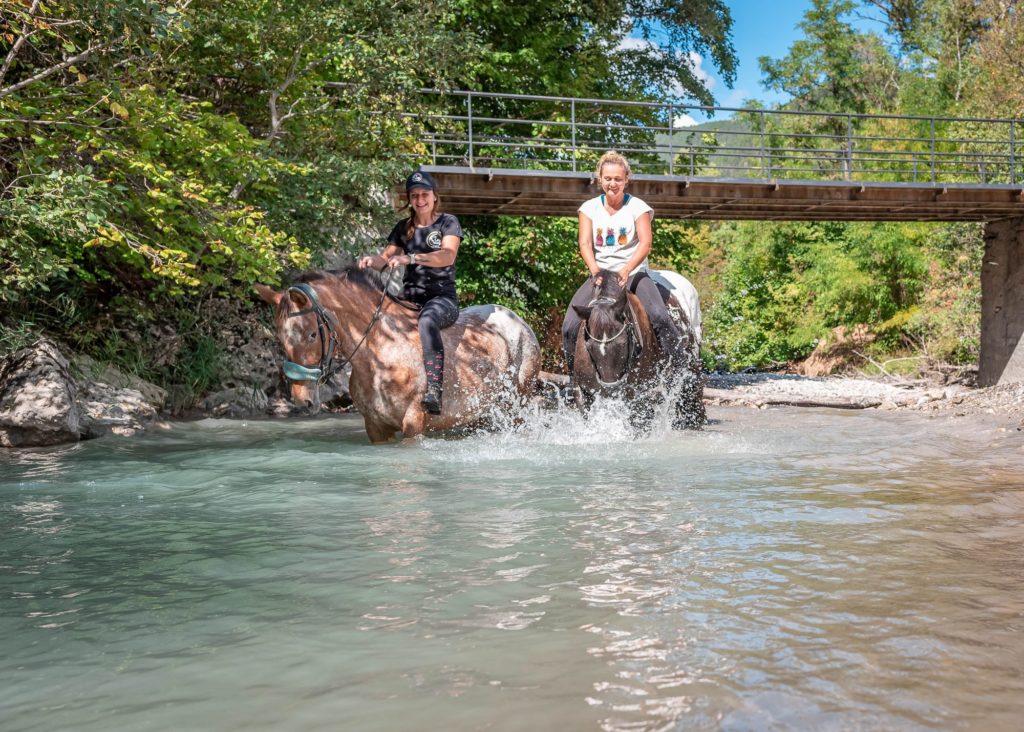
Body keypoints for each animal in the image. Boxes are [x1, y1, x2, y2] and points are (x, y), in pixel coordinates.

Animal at [256, 268, 540, 444]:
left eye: (312, 334)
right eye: (281, 337)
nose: (302, 400)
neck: (379, 356)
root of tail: (519, 321)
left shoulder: (413, 424)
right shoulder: (375, 428)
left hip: (517, 406)